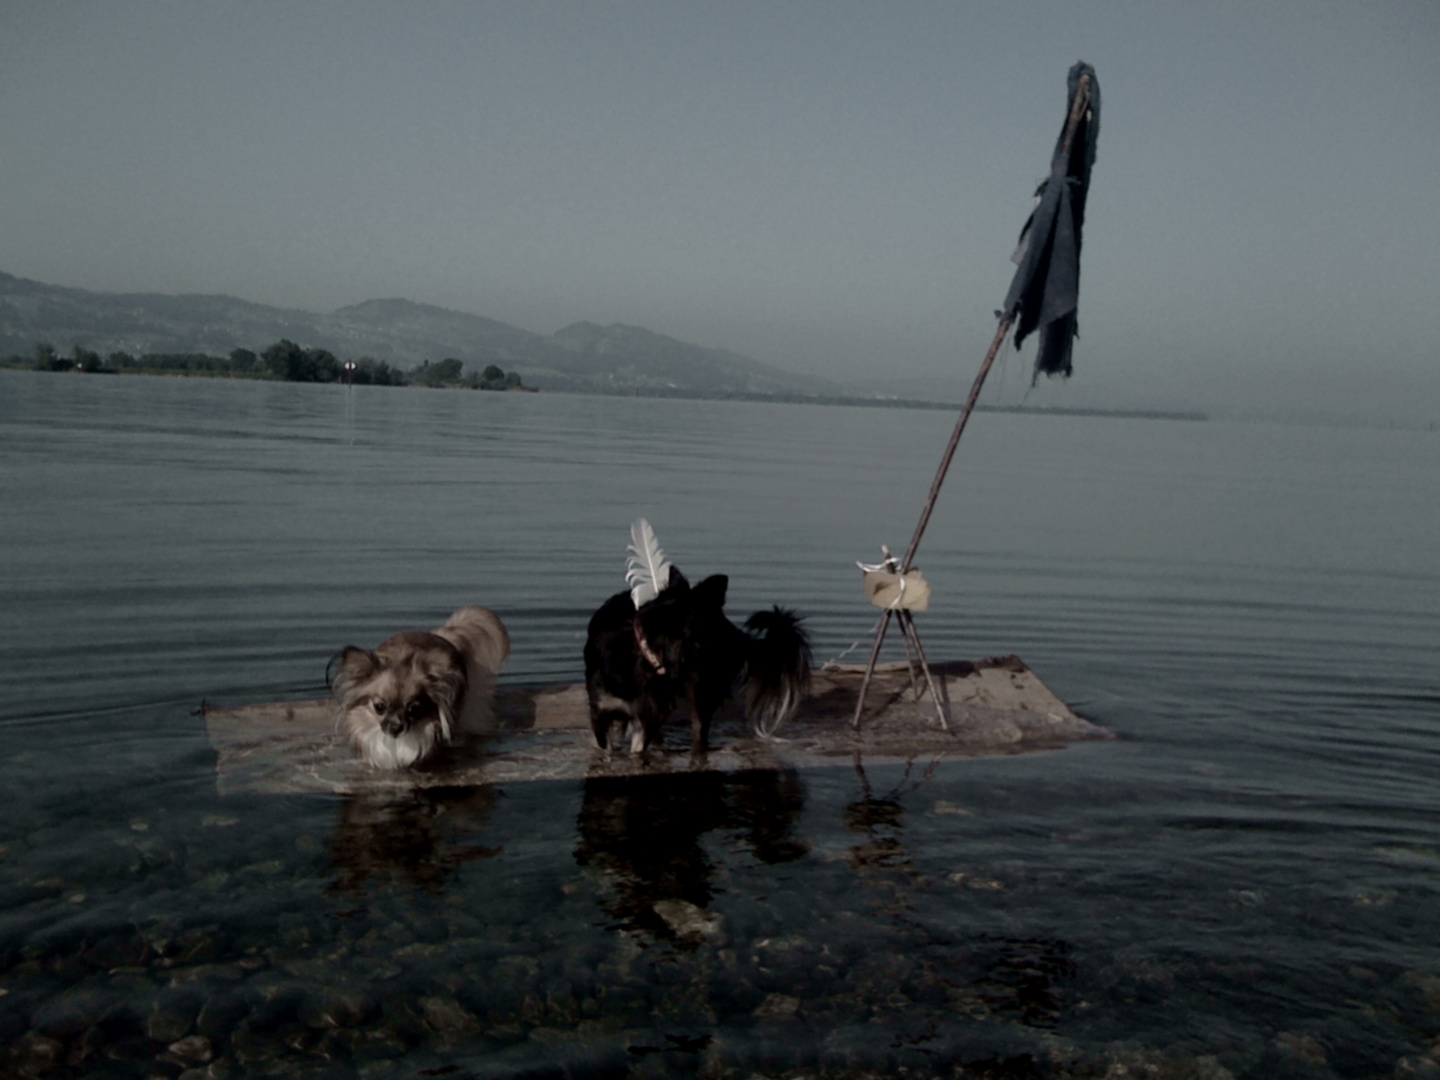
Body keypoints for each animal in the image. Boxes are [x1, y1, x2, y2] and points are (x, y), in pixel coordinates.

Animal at [584, 570, 812, 754]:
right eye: (719, 627)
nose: (735, 639)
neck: (646, 654)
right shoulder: (602, 710)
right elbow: (605, 747)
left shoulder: (648, 716)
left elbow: (638, 747)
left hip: (703, 690)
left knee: (699, 733)